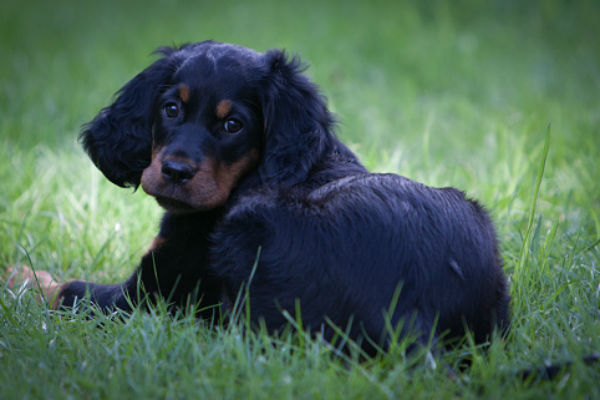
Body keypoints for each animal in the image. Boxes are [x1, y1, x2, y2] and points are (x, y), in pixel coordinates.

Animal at [10, 40, 506, 354]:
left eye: (234, 125)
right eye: (170, 109)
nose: (174, 172)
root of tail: (410, 314)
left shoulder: (148, 295)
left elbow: (68, 289)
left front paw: (19, 276)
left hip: (244, 236)